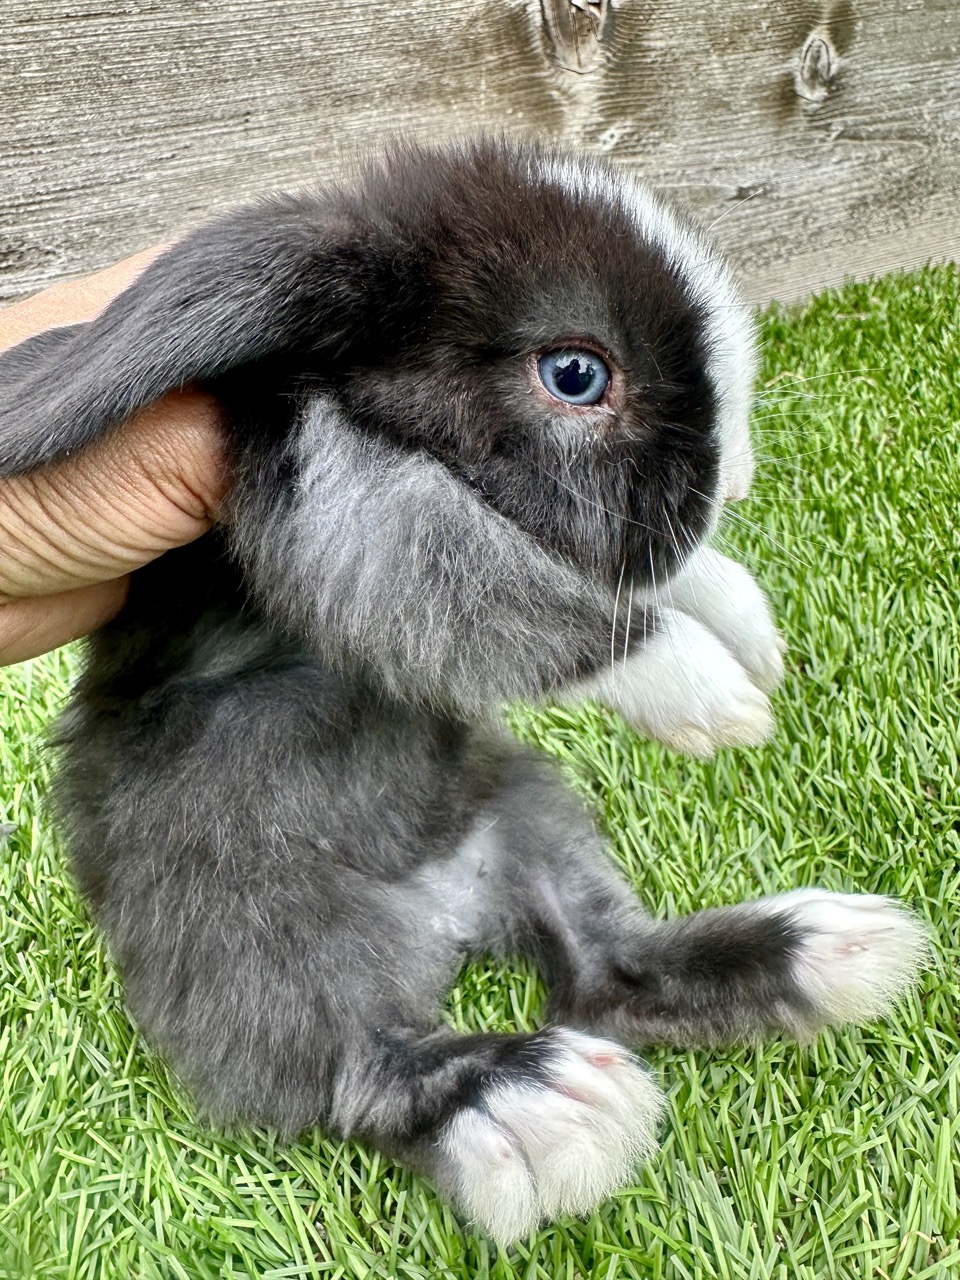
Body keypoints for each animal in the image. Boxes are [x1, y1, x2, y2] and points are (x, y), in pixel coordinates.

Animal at [0, 139, 927, 1245]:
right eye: (575, 374)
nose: (737, 481)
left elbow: (639, 580)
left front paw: (751, 631)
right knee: (366, 1071)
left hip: (527, 813)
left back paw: (830, 950)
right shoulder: (357, 521)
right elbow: (528, 599)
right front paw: (712, 698)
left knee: (602, 969)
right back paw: (534, 1105)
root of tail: (441, 919)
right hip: (267, 941)